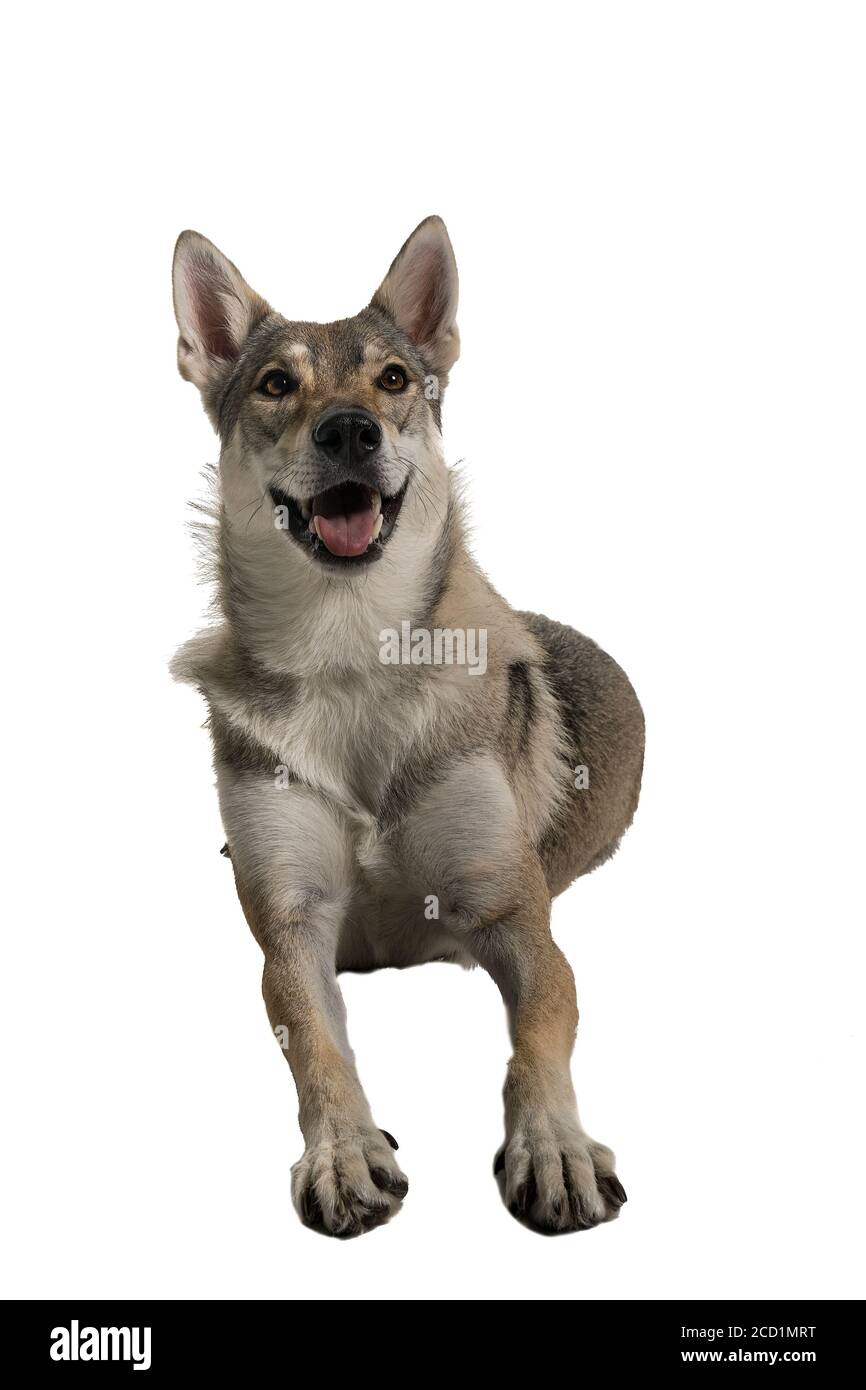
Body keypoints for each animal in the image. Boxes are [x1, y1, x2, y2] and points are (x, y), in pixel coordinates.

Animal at [170, 219, 644, 1239]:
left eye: (393, 379)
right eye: (277, 384)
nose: (350, 428)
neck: (351, 655)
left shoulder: (513, 912)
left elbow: (539, 1036)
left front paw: (554, 1147)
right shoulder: (292, 926)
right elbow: (317, 1048)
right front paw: (345, 1152)